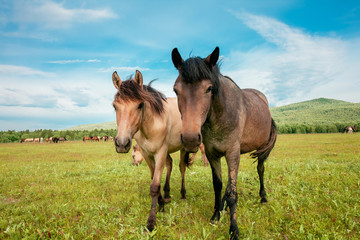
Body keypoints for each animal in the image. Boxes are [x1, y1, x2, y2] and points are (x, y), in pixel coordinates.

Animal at [112, 70, 197, 232]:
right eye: (114, 106)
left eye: (140, 105)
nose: (122, 143)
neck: (151, 125)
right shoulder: (147, 154)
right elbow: (154, 179)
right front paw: (162, 203)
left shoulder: (160, 152)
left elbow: (154, 185)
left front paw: (151, 222)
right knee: (170, 165)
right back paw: (167, 193)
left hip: (184, 148)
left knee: (182, 168)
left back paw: (183, 194)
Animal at [172, 47, 278, 240]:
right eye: (176, 90)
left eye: (209, 88)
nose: (190, 138)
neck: (220, 116)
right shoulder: (213, 155)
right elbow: (219, 185)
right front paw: (216, 214)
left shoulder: (232, 153)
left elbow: (232, 194)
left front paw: (233, 228)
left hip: (259, 150)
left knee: (260, 170)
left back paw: (263, 197)